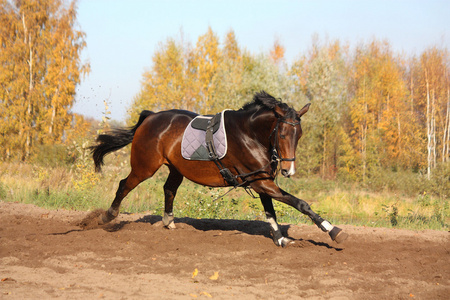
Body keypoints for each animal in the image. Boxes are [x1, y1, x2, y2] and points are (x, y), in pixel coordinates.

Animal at [91, 91, 348, 246]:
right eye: (283, 134)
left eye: (299, 135)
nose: (288, 171)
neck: (250, 134)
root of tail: (151, 117)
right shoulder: (261, 182)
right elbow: (300, 203)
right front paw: (332, 230)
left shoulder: (261, 180)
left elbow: (271, 211)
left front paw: (280, 239)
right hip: (144, 167)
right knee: (124, 185)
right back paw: (107, 216)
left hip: (175, 169)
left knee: (169, 189)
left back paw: (169, 221)